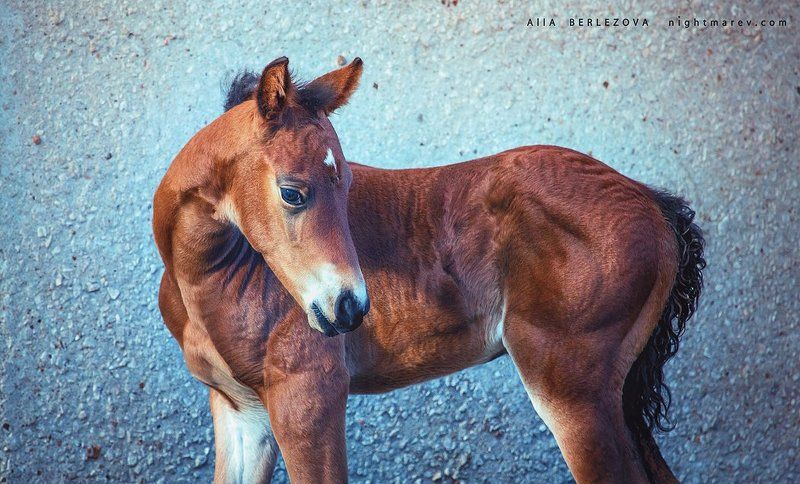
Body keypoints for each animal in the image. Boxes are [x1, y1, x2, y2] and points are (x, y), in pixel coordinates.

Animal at [152, 56, 705, 483]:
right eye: (292, 192)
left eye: (347, 183)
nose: (350, 306)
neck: (207, 280)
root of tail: (653, 205)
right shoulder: (242, 413)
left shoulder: (308, 400)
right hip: (619, 397)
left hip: (574, 393)